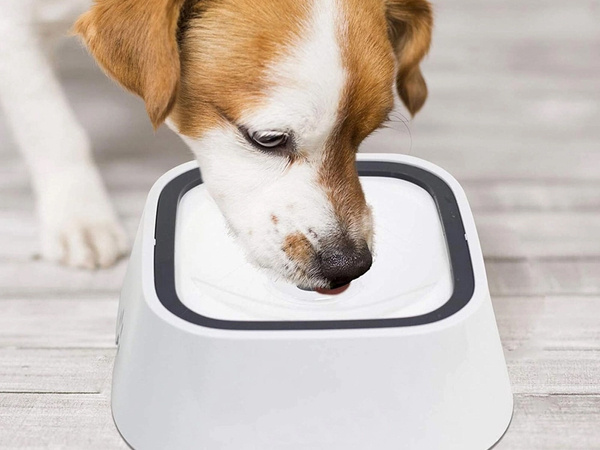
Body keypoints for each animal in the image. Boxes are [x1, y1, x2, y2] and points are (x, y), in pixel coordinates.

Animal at [0, 0, 432, 290]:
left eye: (365, 136)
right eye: (267, 139)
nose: (350, 265)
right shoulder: (13, 28)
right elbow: (51, 126)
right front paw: (79, 215)